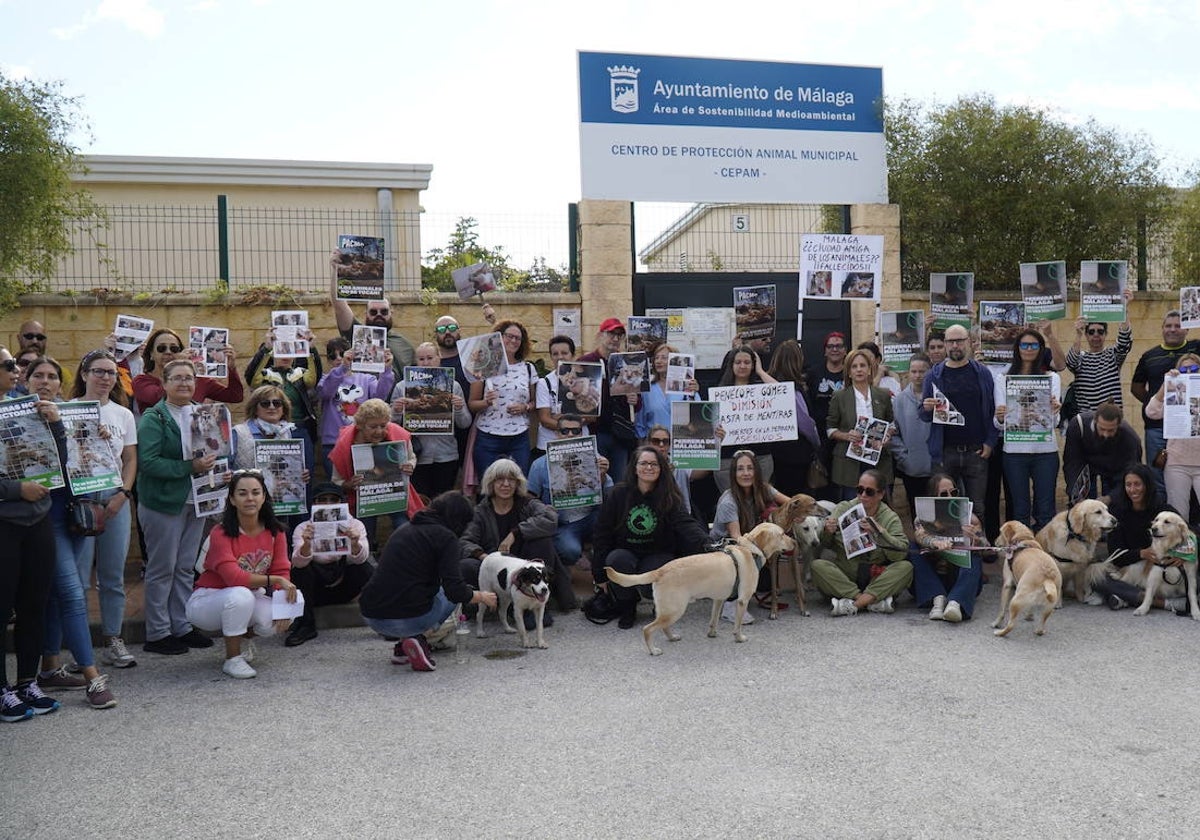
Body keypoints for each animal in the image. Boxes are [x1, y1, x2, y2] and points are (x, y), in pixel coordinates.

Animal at [600, 525, 796, 657]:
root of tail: (660, 570)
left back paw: (672, 637)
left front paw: (712, 634)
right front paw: (739, 638)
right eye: (782, 534)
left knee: (663, 626)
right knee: (648, 629)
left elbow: (713, 620)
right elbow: (737, 625)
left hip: (670, 610)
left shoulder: (718, 599)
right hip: (675, 610)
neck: (750, 549)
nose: (795, 542)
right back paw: (653, 650)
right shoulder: (742, 600)